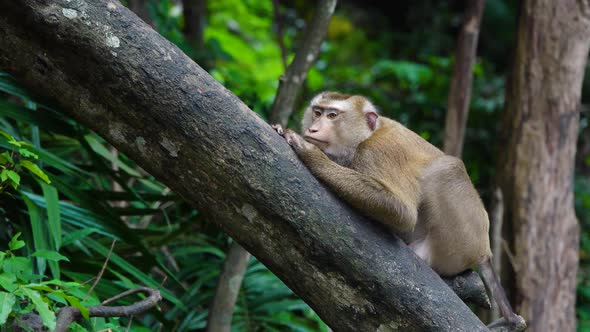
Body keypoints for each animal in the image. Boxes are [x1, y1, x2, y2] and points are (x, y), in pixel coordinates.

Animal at [272, 92, 528, 328]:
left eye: (332, 115)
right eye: (317, 112)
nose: (313, 128)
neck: (367, 135)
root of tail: (485, 250)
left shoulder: (378, 151)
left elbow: (402, 212)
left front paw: (311, 153)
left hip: (461, 243)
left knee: (447, 169)